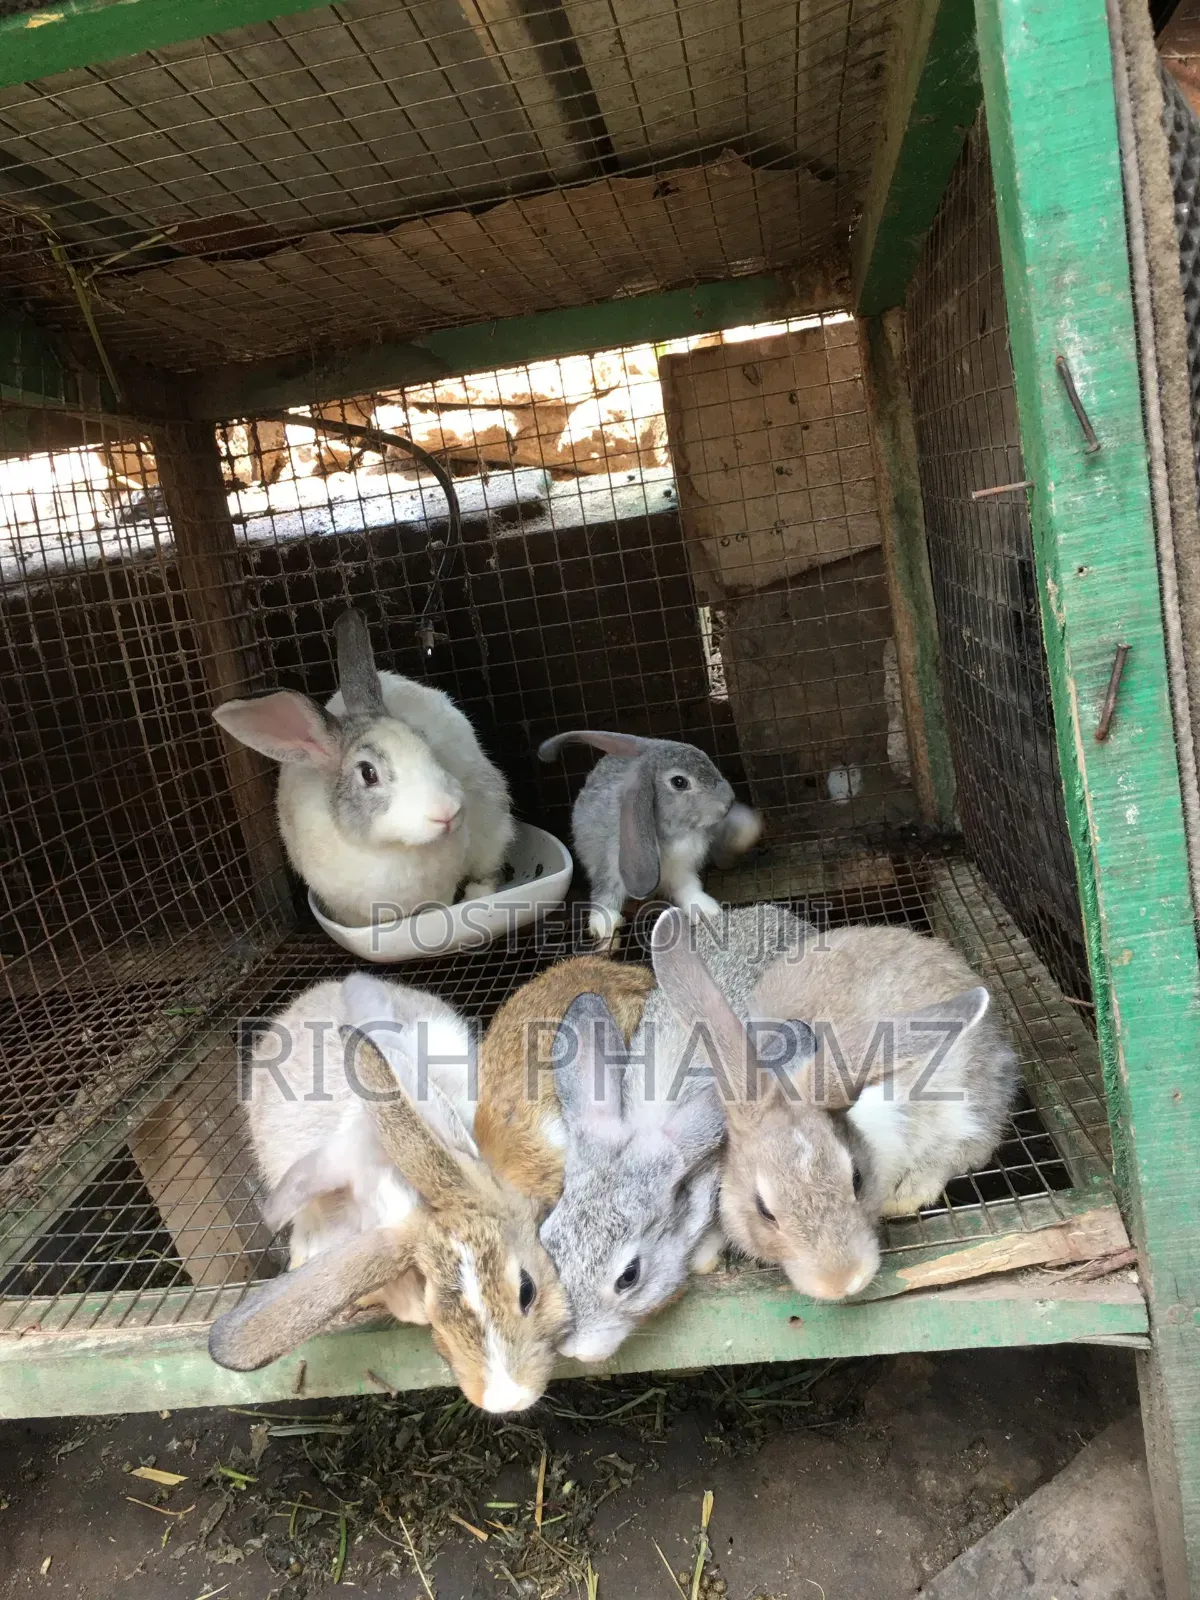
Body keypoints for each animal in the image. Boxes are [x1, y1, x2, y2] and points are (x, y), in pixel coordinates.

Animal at [537, 729, 761, 949]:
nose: (729, 800)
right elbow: (606, 894)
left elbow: (689, 889)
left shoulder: (682, 870)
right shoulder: (610, 866)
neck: (678, 831)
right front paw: (606, 926)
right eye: (679, 782)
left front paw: (706, 910)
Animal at [649, 906, 1020, 1303]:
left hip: (969, 1098)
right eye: (764, 1210)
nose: (841, 1282)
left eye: (856, 1179)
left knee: (966, 1148)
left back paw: (906, 1195)